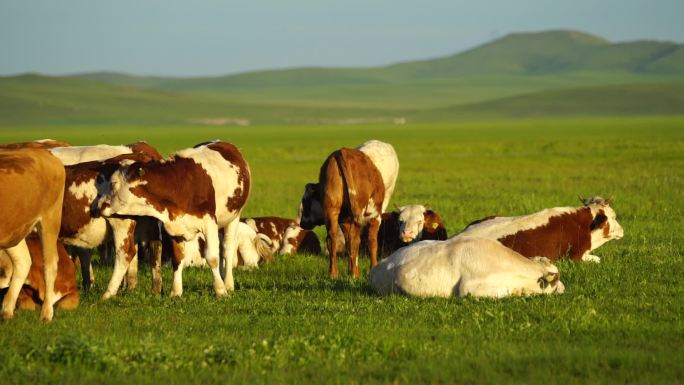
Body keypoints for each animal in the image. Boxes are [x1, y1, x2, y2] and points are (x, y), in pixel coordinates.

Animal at [0, 147, 64, 320]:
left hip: (50, 220)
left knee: (50, 265)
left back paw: (46, 313)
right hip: (14, 229)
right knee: (23, 261)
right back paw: (7, 310)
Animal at [92, 140, 250, 296]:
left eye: (113, 183)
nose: (98, 205)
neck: (181, 184)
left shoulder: (209, 222)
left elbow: (212, 258)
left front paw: (220, 290)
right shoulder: (174, 225)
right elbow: (178, 259)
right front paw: (176, 291)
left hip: (234, 217)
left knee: (228, 249)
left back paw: (228, 283)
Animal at [300, 146, 384, 276]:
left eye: (305, 201)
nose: (301, 223)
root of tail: (341, 152)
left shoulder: (345, 220)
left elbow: (349, 244)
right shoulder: (375, 216)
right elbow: (372, 242)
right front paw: (372, 268)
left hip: (332, 210)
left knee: (332, 238)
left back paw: (334, 273)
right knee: (355, 240)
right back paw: (353, 274)